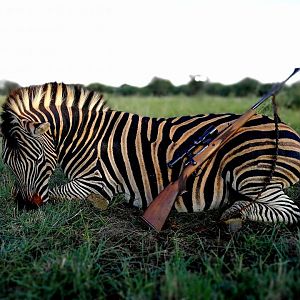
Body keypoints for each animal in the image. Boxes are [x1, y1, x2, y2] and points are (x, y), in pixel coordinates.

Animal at [0, 82, 300, 223]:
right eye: (10, 165)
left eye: (39, 160)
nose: (27, 206)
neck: (84, 136)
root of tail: (283, 125)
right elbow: (24, 189)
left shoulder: (97, 182)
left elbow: (56, 191)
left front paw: (99, 204)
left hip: (248, 173)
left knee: (289, 211)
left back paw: (233, 213)